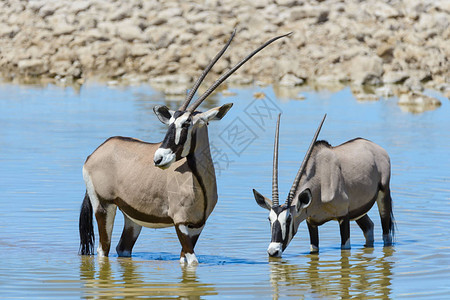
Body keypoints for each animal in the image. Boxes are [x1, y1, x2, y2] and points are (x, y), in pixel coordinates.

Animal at [80, 30, 292, 264]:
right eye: (170, 122)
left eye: (187, 123)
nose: (159, 158)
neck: (198, 183)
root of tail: (96, 152)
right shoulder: (180, 224)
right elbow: (193, 262)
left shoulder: (197, 226)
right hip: (104, 207)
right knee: (103, 250)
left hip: (132, 217)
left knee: (122, 248)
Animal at [253, 113, 394, 256]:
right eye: (269, 219)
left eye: (288, 219)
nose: (273, 251)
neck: (320, 184)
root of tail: (376, 147)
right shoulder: (312, 223)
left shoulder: (343, 217)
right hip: (358, 210)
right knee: (369, 227)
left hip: (383, 194)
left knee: (386, 234)